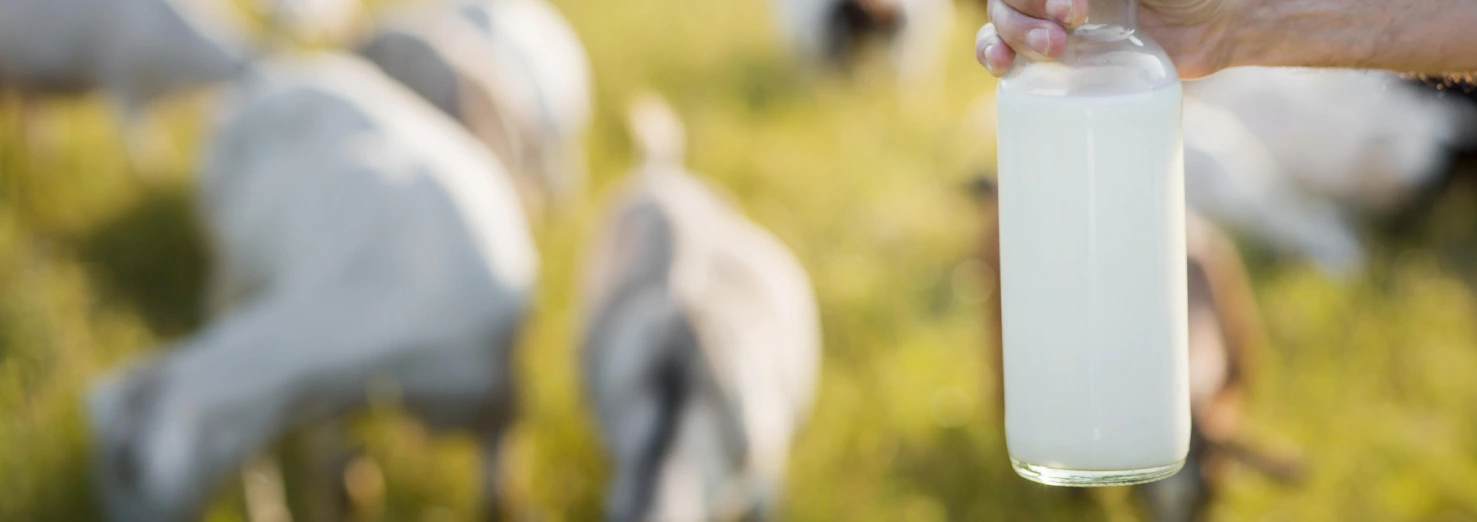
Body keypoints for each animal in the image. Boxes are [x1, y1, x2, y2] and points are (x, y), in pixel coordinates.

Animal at [87, 53, 537, 520]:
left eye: (124, 466)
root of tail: (274, 74)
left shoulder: (499, 398)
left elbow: (496, 499)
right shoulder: (322, 397)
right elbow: (339, 483)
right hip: (227, 259)